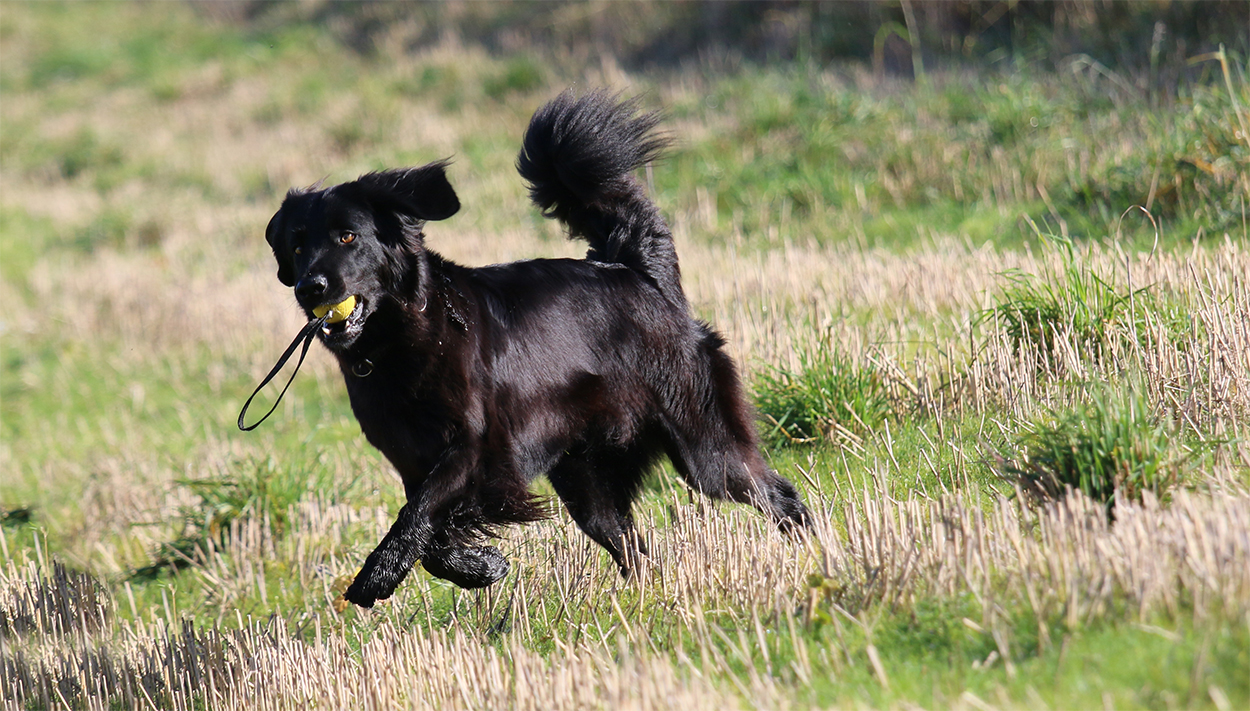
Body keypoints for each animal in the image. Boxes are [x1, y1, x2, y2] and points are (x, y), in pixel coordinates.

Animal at [263, 91, 811, 608]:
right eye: (296, 246)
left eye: (347, 236)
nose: (309, 287)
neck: (405, 338)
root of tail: (637, 271)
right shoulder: (413, 462)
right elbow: (428, 533)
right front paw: (478, 566)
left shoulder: (475, 449)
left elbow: (418, 516)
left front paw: (380, 572)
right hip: (588, 482)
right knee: (633, 544)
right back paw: (646, 598)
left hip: (705, 448)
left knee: (777, 495)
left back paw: (812, 552)